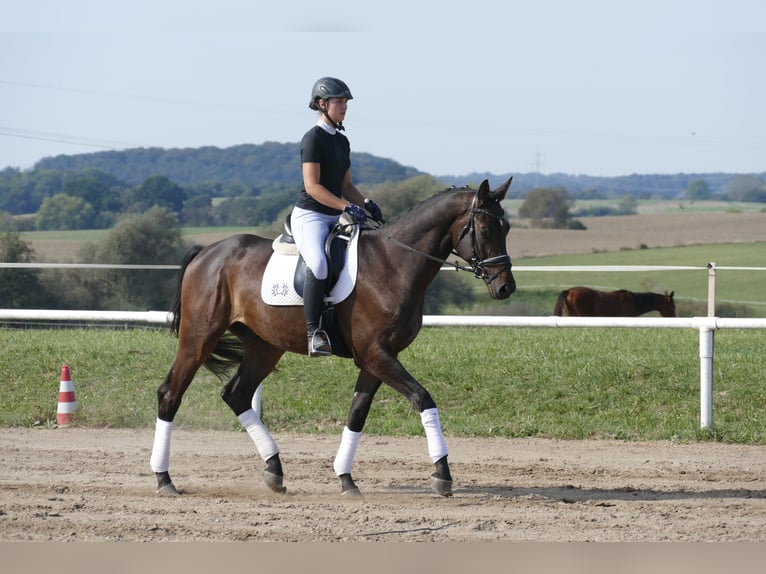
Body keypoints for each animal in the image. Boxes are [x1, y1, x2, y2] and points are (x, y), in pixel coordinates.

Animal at [150, 177, 516, 500]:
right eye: (485, 230)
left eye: (507, 229)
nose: (505, 288)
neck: (394, 264)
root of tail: (206, 253)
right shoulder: (375, 354)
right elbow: (423, 398)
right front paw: (442, 474)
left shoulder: (378, 358)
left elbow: (357, 414)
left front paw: (346, 478)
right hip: (199, 338)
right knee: (171, 393)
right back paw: (164, 479)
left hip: (264, 346)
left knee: (236, 394)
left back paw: (274, 470)